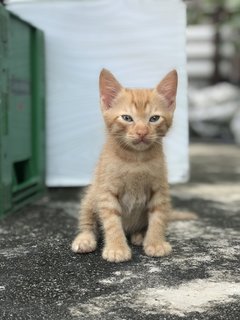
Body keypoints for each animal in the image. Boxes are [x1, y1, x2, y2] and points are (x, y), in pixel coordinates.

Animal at [72, 69, 192, 262]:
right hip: (91, 196)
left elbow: (158, 217)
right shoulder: (106, 191)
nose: (142, 132)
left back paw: (139, 235)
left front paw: (155, 243)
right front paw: (117, 248)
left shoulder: (160, 189)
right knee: (87, 222)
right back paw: (85, 239)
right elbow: (112, 221)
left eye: (154, 118)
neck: (136, 159)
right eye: (127, 118)